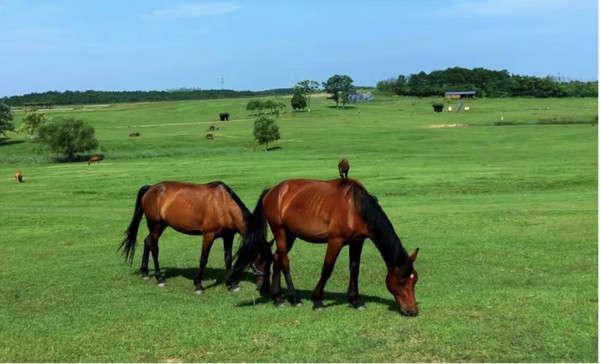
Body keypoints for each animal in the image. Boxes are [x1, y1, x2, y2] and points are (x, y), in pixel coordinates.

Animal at [118, 181, 272, 294]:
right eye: (260, 259)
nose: (263, 287)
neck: (223, 205)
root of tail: (150, 188)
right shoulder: (208, 235)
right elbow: (203, 259)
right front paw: (198, 285)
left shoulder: (228, 236)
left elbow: (228, 259)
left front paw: (232, 284)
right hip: (155, 225)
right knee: (154, 247)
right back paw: (159, 278)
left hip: (161, 226)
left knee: (147, 242)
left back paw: (145, 272)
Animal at [227, 178, 420, 316]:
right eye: (401, 281)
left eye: (414, 280)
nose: (412, 311)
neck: (355, 207)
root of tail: (273, 191)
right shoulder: (335, 241)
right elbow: (327, 269)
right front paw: (317, 300)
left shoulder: (357, 241)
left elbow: (354, 268)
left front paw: (355, 300)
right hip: (280, 231)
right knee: (284, 262)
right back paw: (294, 298)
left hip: (290, 234)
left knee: (276, 258)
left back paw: (278, 297)